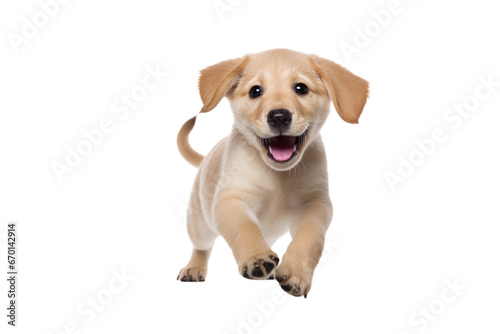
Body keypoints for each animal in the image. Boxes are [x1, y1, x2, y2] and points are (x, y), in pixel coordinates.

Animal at [176, 47, 368, 298]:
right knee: (201, 246)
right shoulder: (230, 199)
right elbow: (244, 226)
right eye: (255, 91)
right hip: (198, 223)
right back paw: (194, 268)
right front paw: (256, 257)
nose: (279, 117)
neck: (279, 175)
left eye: (301, 88)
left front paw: (296, 272)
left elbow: (310, 237)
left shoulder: (317, 203)